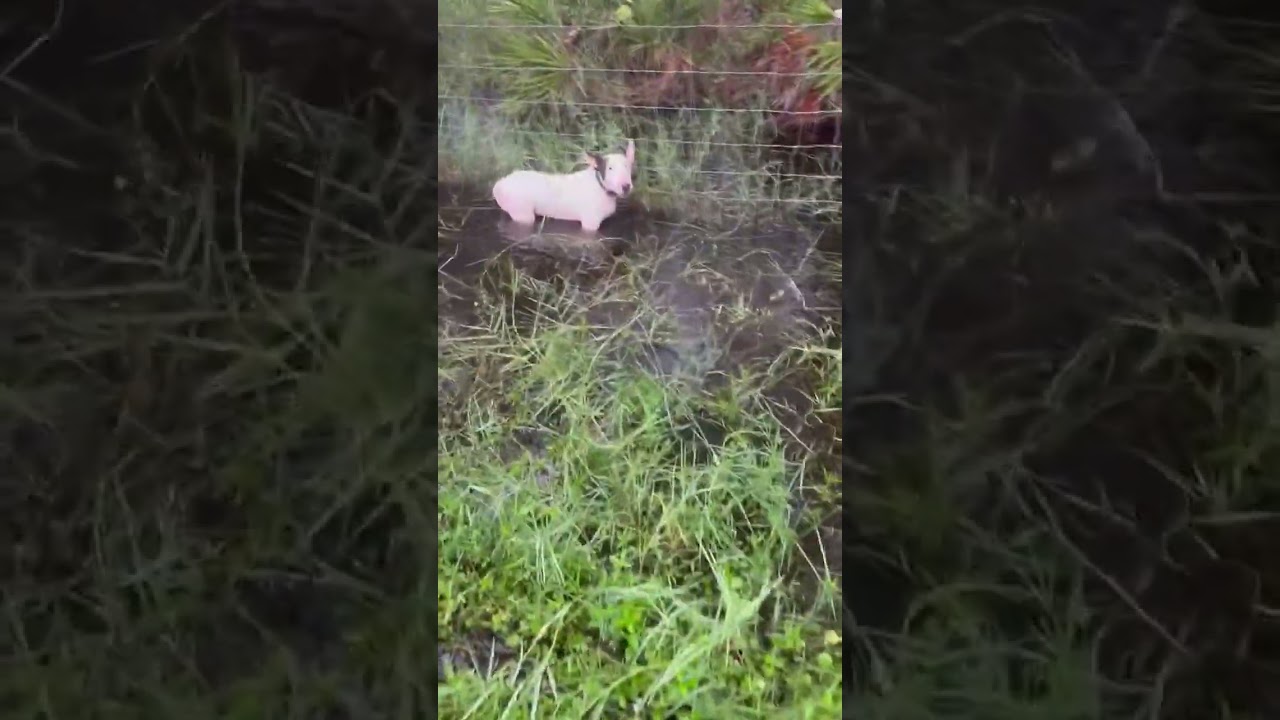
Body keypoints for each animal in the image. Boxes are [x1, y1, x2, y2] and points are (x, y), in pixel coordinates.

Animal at [491, 139, 637, 230]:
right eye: (610, 168)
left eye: (627, 165)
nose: (626, 186)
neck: (601, 187)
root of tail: (500, 184)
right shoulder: (590, 222)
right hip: (522, 211)